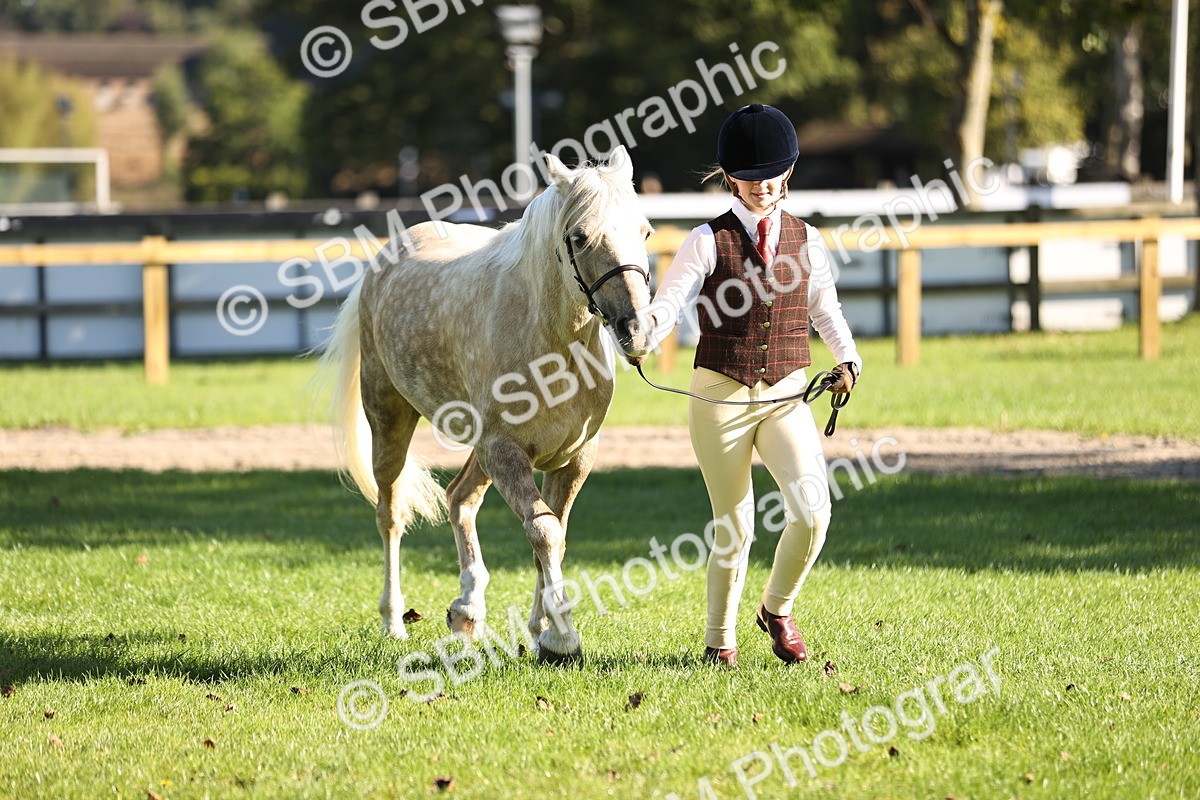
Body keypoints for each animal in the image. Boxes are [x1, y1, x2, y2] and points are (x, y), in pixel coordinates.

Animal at [320, 146, 654, 662]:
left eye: (645, 230)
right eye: (579, 236)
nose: (636, 329)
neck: (554, 346)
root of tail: (385, 258)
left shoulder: (573, 458)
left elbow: (552, 536)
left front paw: (541, 632)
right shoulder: (505, 451)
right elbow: (545, 532)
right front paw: (562, 637)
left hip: (478, 450)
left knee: (460, 498)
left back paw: (467, 610)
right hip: (391, 421)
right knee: (391, 515)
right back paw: (394, 621)